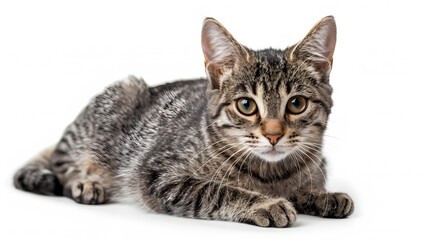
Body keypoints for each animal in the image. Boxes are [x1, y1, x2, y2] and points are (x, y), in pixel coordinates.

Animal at [14, 15, 354, 227]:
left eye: (296, 104)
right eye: (246, 105)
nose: (273, 135)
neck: (270, 175)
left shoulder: (318, 164)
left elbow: (310, 183)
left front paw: (321, 195)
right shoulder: (159, 174)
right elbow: (216, 190)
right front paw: (265, 204)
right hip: (119, 95)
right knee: (61, 161)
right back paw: (85, 181)